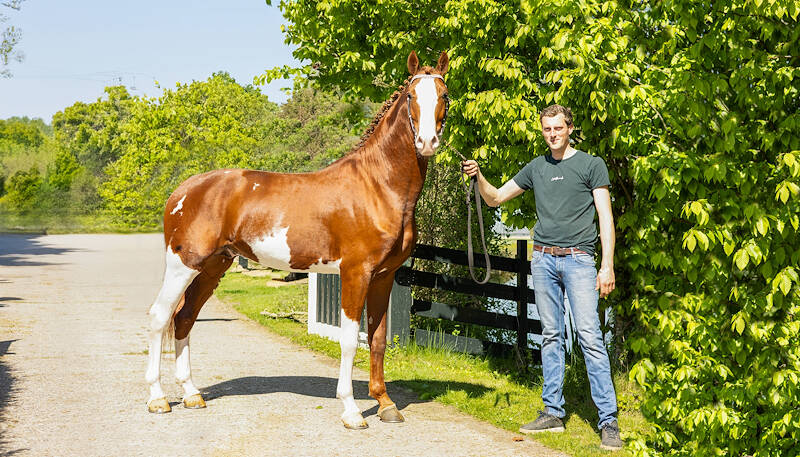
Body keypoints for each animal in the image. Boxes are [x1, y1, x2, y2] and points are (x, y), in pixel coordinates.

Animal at [145, 51, 450, 429]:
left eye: (444, 95)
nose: (427, 142)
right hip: (183, 264)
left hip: (214, 266)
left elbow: (377, 340)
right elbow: (350, 341)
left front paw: (385, 404)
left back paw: (191, 394)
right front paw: (352, 411)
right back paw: (158, 399)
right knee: (160, 317)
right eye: (410, 96)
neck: (377, 186)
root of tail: (182, 191)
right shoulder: (356, 273)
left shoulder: (384, 276)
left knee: (184, 317)